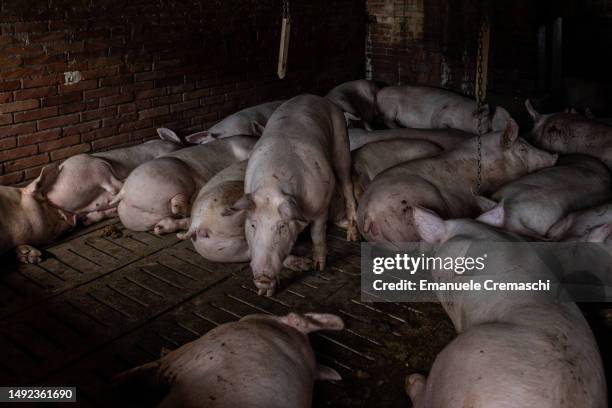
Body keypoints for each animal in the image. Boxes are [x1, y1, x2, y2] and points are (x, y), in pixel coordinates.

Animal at [224, 94, 358, 294]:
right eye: (253, 225)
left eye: (282, 226)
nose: (263, 278)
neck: (272, 185)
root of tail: (316, 97)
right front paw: (266, 292)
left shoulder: (320, 206)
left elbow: (318, 234)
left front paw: (318, 267)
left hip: (342, 142)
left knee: (347, 183)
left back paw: (353, 236)